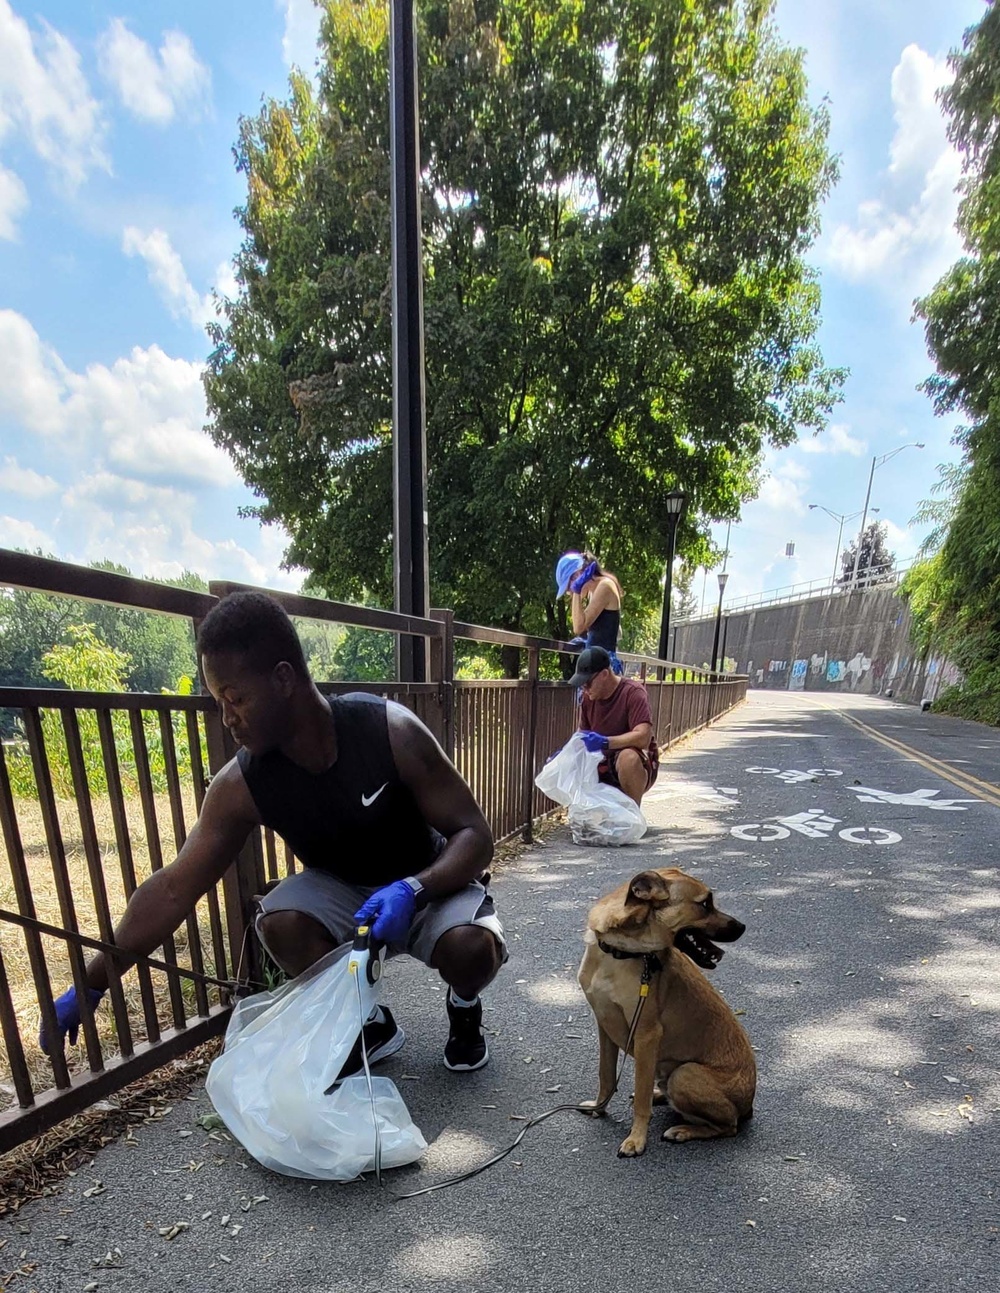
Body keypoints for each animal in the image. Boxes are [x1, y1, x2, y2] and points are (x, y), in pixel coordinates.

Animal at [574, 868, 755, 1153]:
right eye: (705, 903)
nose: (742, 927)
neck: (619, 952)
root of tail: (749, 1106)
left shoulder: (647, 1034)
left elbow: (640, 1099)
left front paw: (636, 1139)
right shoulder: (604, 1026)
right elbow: (606, 1075)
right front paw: (599, 1108)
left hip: (685, 1073)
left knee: (729, 1126)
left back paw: (683, 1130)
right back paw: (660, 1096)